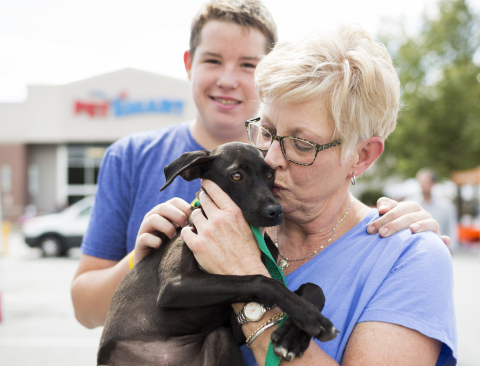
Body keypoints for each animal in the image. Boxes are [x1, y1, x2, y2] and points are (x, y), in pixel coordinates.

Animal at [97, 142, 338, 364]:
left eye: (270, 174)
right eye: (236, 176)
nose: (276, 212)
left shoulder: (236, 326)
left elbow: (313, 288)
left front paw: (294, 334)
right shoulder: (173, 287)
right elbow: (263, 281)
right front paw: (311, 319)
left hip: (221, 338)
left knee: (219, 336)